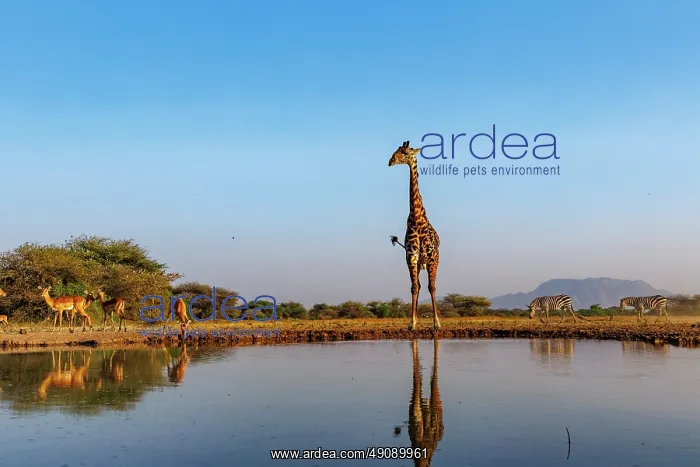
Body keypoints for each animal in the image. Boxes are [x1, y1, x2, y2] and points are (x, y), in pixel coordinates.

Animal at [389, 141, 441, 330]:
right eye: (395, 152)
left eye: (405, 152)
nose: (390, 161)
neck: (417, 219)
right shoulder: (411, 256)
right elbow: (414, 287)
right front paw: (412, 323)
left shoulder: (431, 257)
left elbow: (432, 287)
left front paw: (436, 323)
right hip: (419, 264)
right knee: (417, 285)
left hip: (433, 260)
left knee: (429, 286)